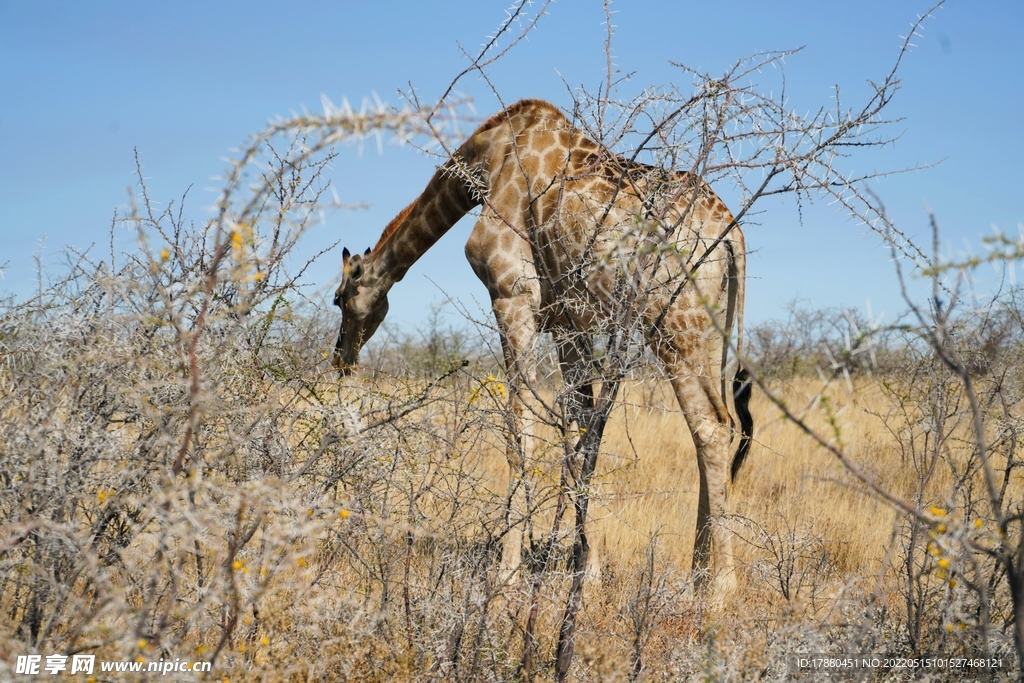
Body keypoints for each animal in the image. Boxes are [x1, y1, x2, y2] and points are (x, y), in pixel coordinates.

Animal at [335, 100, 753, 598]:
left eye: (339, 299)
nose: (340, 358)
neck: (483, 164)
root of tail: (731, 234)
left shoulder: (512, 296)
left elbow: (521, 431)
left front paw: (508, 572)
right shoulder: (566, 323)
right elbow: (581, 432)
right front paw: (585, 569)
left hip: (673, 325)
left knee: (710, 427)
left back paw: (720, 587)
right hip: (710, 329)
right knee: (720, 422)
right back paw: (696, 571)